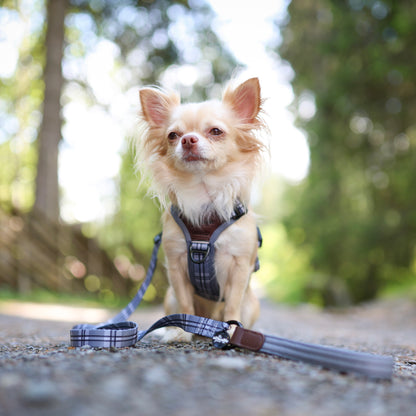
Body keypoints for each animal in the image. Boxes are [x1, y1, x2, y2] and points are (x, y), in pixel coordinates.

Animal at [136, 78, 266, 342]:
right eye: (173, 135)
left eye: (216, 131)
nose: (188, 139)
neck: (203, 191)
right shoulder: (176, 265)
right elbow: (186, 305)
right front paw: (182, 333)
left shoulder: (240, 267)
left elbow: (232, 304)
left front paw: (232, 330)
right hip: (169, 298)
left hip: (252, 304)